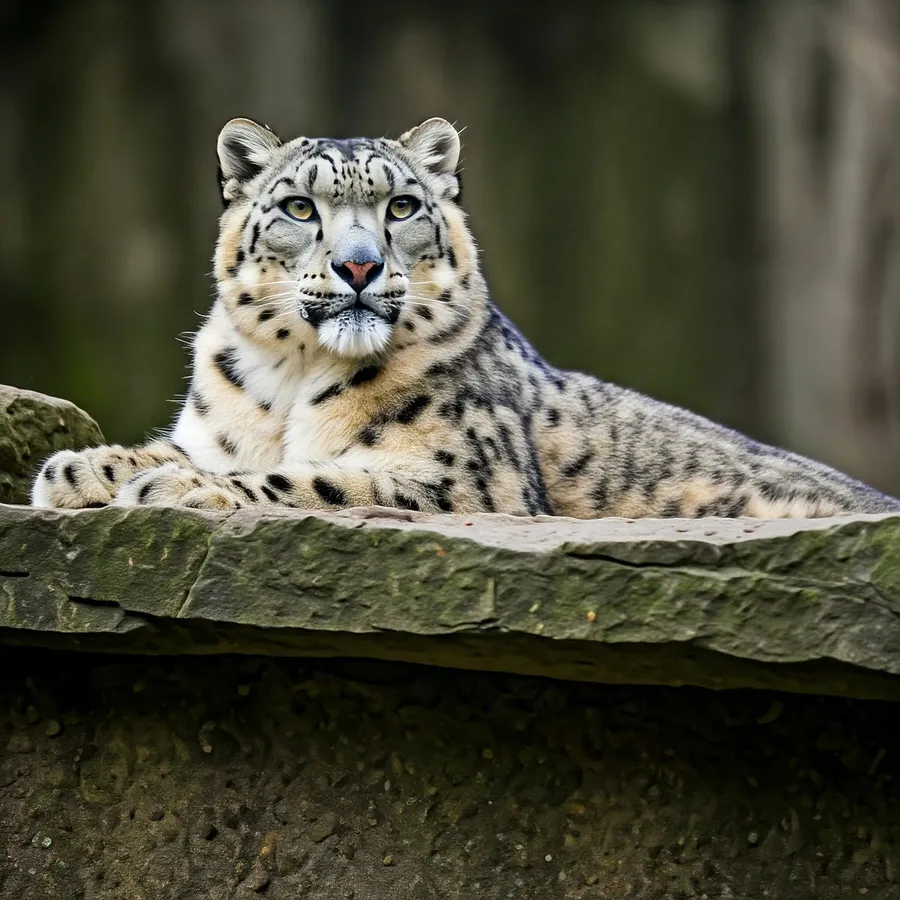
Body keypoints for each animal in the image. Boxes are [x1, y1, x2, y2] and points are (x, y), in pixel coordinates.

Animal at [30, 116, 900, 519]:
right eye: (300, 207)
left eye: (403, 205)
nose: (358, 266)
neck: (292, 378)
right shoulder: (215, 431)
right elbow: (188, 449)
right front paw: (80, 469)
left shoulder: (466, 478)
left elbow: (313, 476)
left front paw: (172, 488)